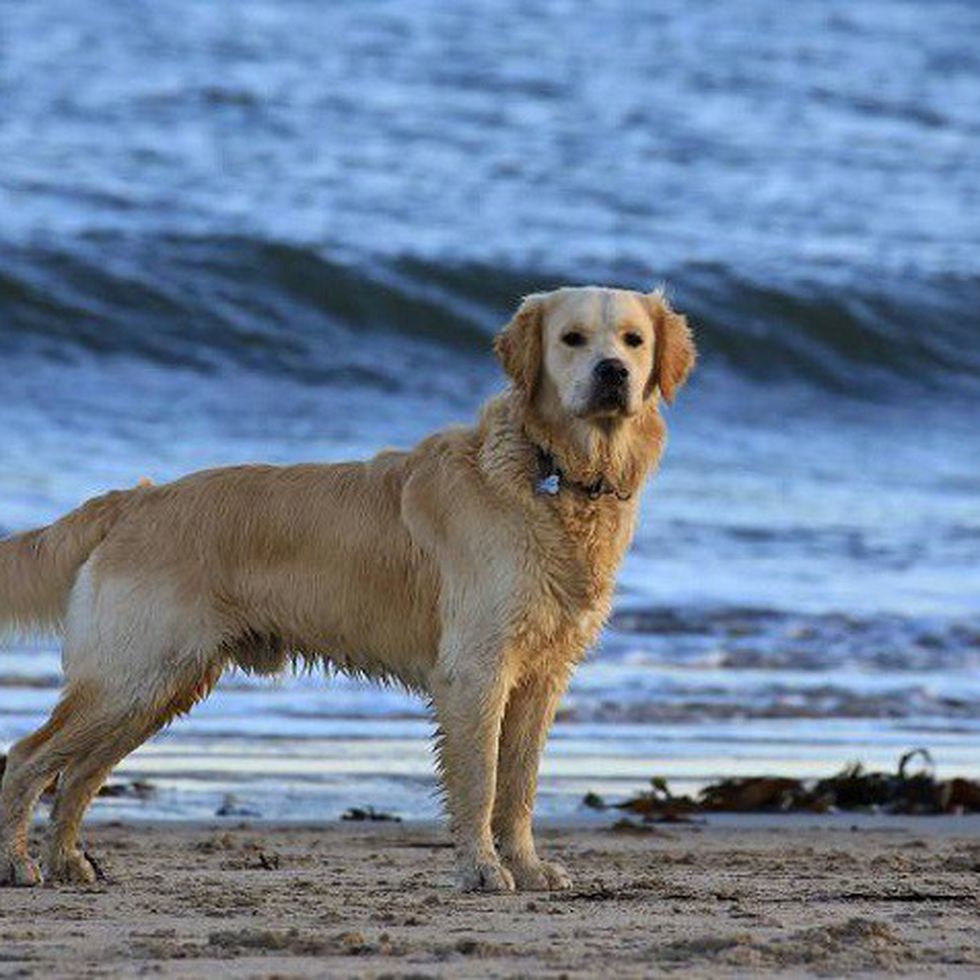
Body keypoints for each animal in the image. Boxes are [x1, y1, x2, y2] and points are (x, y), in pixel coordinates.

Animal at [0, 288, 692, 892]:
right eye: (572, 339)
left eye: (633, 340)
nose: (612, 373)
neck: (551, 472)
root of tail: (135, 499)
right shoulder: (476, 668)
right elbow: (481, 781)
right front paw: (482, 869)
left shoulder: (543, 675)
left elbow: (519, 786)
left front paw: (525, 866)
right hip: (134, 675)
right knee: (27, 758)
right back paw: (18, 863)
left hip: (159, 686)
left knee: (78, 775)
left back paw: (67, 863)